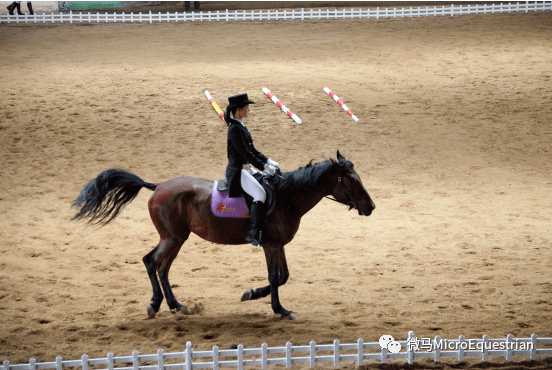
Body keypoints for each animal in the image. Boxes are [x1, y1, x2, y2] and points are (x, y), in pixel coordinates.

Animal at [71, 150, 374, 318]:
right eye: (351, 180)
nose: (370, 207)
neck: (286, 197)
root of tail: (157, 186)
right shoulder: (270, 245)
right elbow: (275, 277)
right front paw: (278, 309)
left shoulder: (278, 245)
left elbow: (284, 276)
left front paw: (251, 294)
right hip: (172, 238)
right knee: (152, 262)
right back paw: (156, 305)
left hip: (177, 239)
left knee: (162, 267)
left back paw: (175, 305)